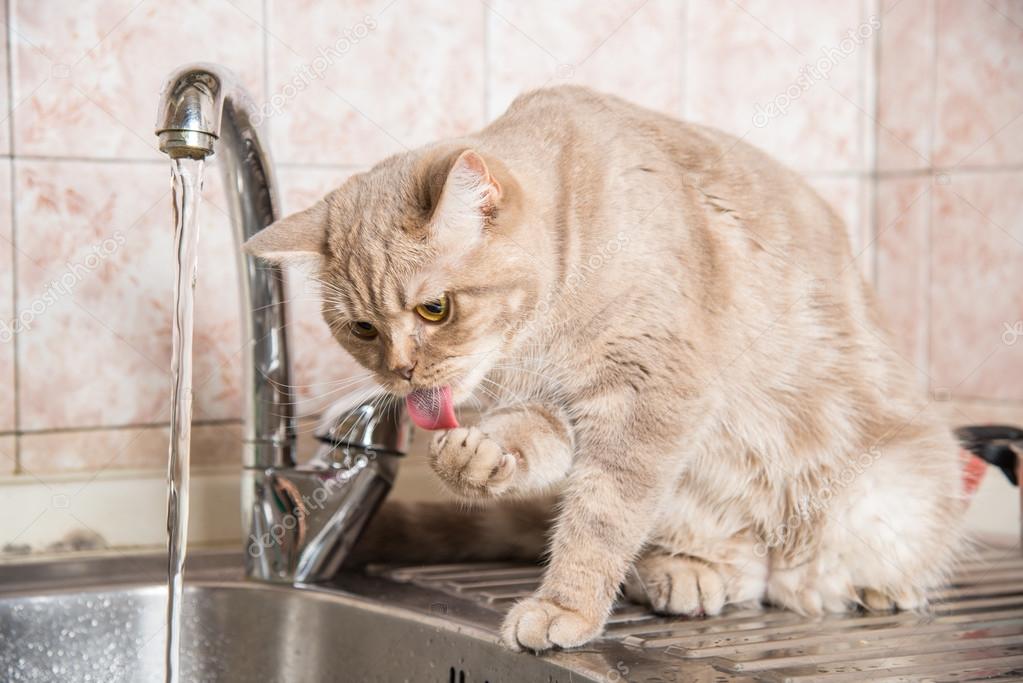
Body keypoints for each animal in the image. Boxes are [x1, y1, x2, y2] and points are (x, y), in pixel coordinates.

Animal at [245, 85, 965, 650]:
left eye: (434, 308)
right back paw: (686, 572)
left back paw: (870, 587)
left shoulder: (651, 399)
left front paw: (566, 604)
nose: (401, 373)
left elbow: (599, 518)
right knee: (733, 569)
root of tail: (779, 566)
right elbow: (537, 452)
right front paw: (477, 458)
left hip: (886, 496)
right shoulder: (558, 408)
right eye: (362, 329)